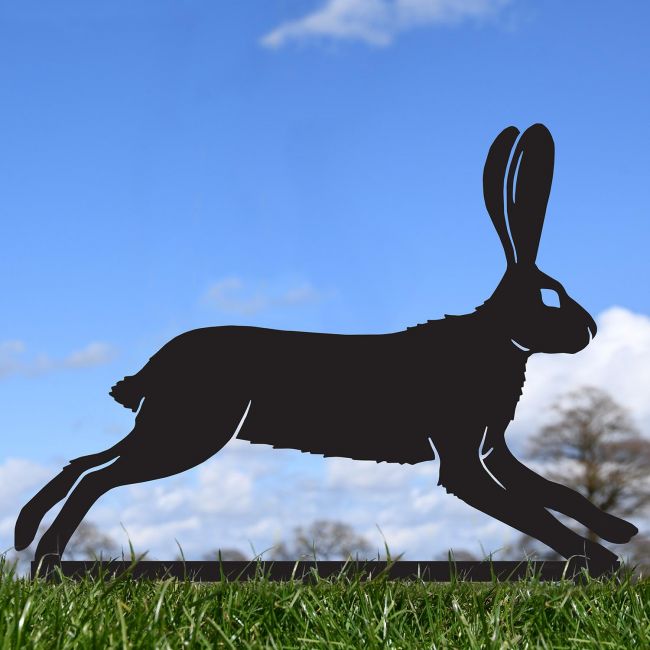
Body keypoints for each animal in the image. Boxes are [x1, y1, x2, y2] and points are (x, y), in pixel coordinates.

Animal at [15, 123, 638, 576]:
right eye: (549, 297)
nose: (591, 331)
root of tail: (155, 366)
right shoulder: (463, 459)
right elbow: (528, 510)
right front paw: (604, 564)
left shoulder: (491, 449)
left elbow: (553, 490)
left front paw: (620, 534)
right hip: (189, 432)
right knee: (97, 477)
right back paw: (46, 564)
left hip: (171, 426)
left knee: (86, 464)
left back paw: (32, 545)